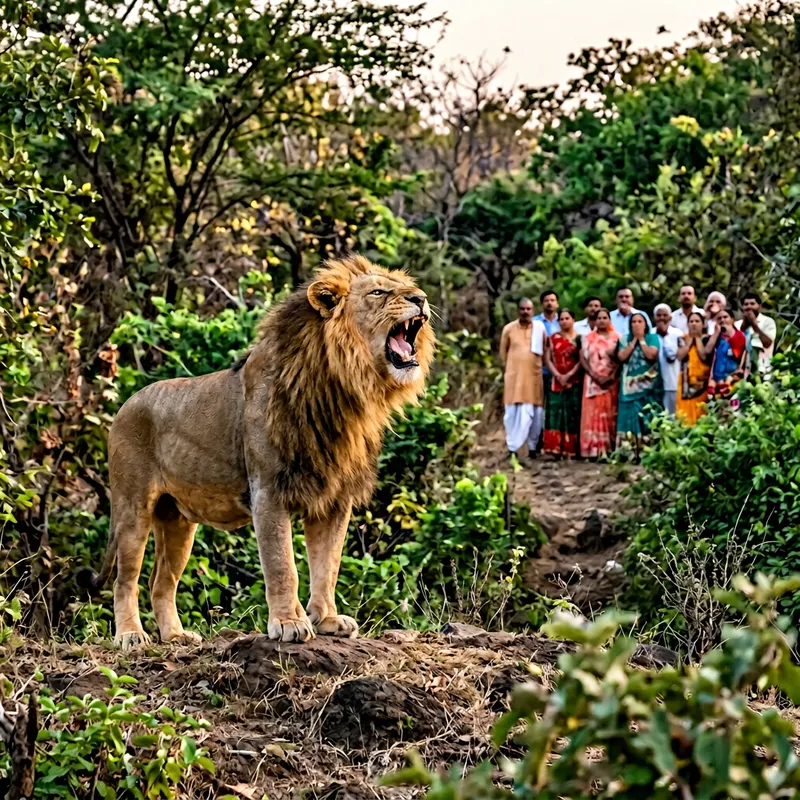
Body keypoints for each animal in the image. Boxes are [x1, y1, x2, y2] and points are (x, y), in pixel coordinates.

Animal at [80, 255, 434, 650]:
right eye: (378, 292)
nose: (421, 298)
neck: (342, 390)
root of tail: (125, 406)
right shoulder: (268, 491)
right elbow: (283, 565)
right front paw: (289, 623)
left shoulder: (333, 499)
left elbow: (327, 565)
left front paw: (327, 620)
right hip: (133, 508)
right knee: (125, 579)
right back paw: (131, 636)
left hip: (178, 521)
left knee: (161, 581)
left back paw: (175, 636)